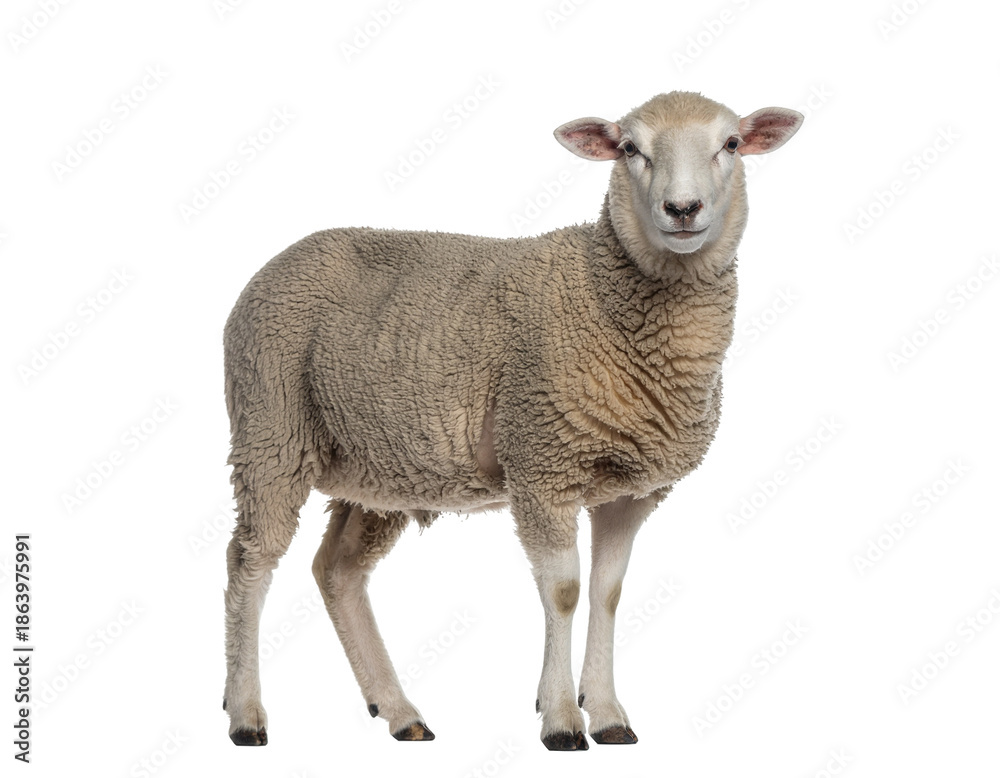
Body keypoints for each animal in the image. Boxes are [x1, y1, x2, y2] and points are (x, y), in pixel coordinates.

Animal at [222, 90, 803, 750]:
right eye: (630, 148)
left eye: (730, 143)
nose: (683, 209)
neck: (606, 294)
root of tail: (274, 265)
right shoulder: (542, 460)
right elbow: (565, 592)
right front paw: (562, 721)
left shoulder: (628, 491)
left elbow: (608, 593)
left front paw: (607, 714)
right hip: (271, 427)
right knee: (249, 561)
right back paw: (246, 713)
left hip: (377, 464)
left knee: (337, 571)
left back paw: (398, 711)